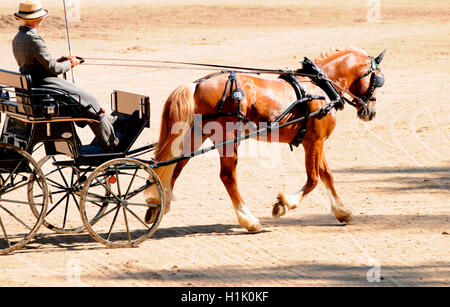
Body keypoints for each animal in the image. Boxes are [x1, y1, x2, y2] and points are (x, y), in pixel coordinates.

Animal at [145, 47, 386, 232]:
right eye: (378, 79)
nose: (371, 112)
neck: (320, 86)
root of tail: (197, 84)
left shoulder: (313, 141)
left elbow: (327, 175)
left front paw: (342, 211)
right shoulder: (315, 142)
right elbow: (314, 179)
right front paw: (284, 204)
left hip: (195, 134)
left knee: (175, 165)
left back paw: (156, 205)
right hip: (227, 137)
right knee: (227, 176)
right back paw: (249, 220)